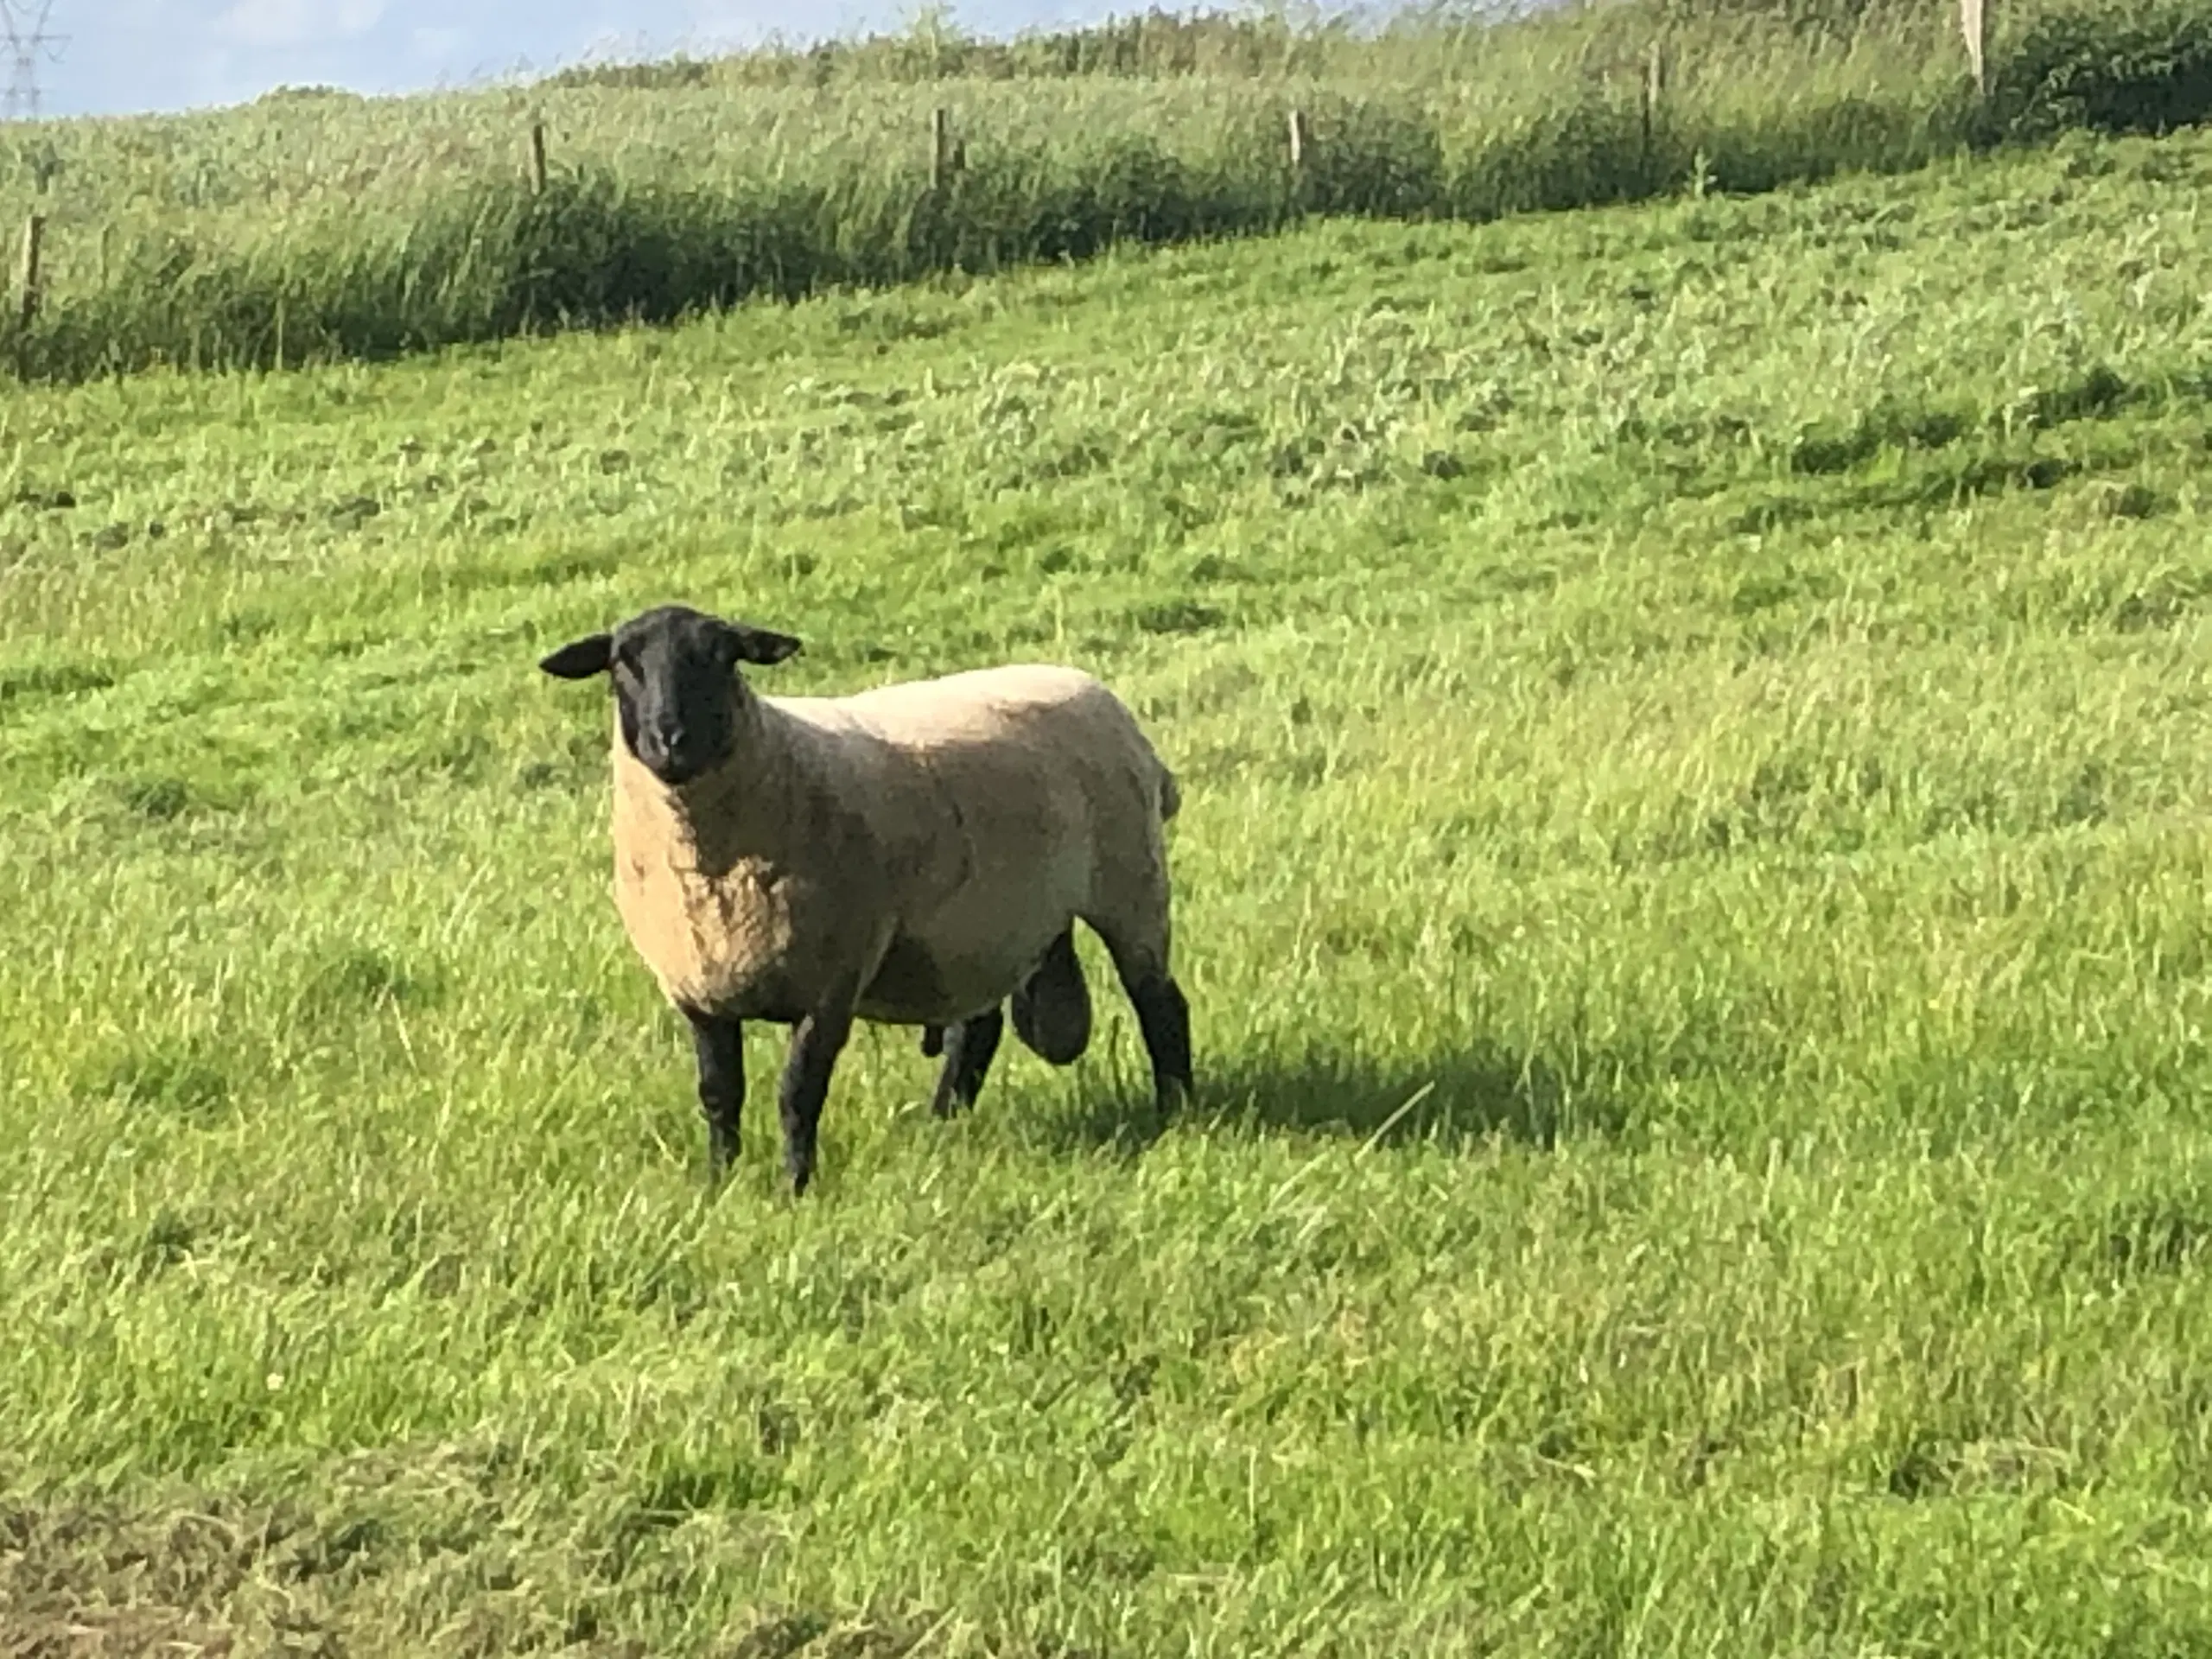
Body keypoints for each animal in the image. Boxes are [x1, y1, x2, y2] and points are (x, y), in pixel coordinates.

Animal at [535, 606, 1194, 1194]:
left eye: (723, 657)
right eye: (622, 661)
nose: (670, 739)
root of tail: (1091, 687)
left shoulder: (831, 984)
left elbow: (797, 1095)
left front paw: (795, 1188)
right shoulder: (701, 987)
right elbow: (720, 1097)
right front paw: (719, 1183)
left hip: (1131, 886)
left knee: (1161, 1005)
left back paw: (1176, 1108)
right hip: (981, 927)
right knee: (977, 1030)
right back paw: (943, 1122)